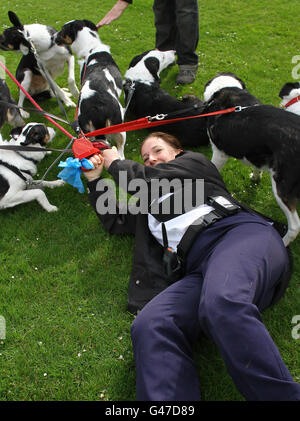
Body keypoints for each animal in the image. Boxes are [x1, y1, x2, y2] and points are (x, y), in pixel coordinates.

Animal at [55, 18, 125, 159]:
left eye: (62, 30)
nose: (53, 37)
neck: (90, 49)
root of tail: (96, 107)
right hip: (120, 126)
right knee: (120, 154)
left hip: (87, 134)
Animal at [203, 70, 300, 244]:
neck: (228, 88)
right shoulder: (256, 150)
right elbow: (257, 166)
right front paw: (255, 177)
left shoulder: (220, 152)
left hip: (282, 186)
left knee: (295, 226)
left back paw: (283, 242)